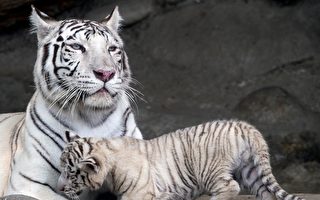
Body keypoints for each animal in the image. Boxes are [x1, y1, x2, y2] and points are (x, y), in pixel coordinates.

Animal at [58, 120, 304, 200]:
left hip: (210, 171)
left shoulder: (138, 193)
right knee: (266, 193)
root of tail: (245, 126)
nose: (59, 188)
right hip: (251, 172)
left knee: (230, 187)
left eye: (71, 173)